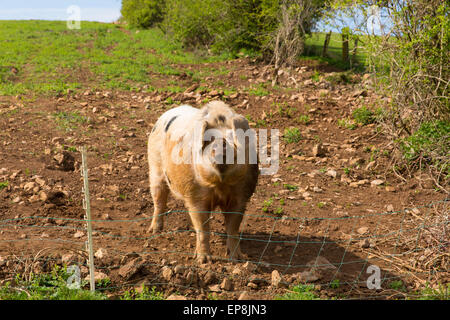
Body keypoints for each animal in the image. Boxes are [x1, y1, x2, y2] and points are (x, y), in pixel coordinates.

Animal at [148, 100, 258, 262]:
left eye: (232, 138)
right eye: (209, 139)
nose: (221, 142)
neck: (220, 184)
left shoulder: (241, 196)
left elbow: (233, 229)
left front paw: (238, 259)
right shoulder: (196, 196)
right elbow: (203, 229)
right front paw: (204, 261)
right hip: (155, 167)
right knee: (159, 200)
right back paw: (154, 231)